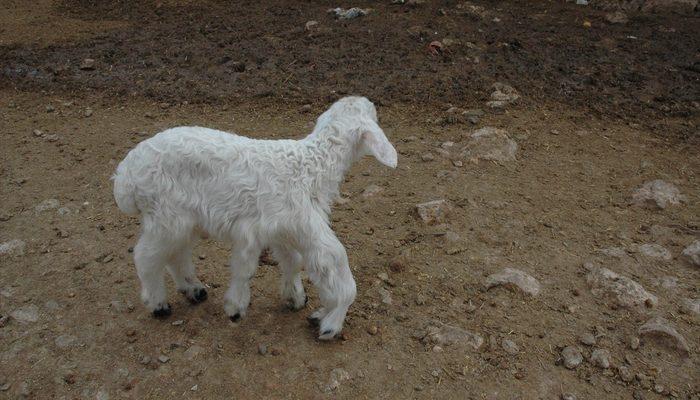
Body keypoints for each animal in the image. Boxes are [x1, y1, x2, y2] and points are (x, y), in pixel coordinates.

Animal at [112, 95, 396, 340]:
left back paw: (194, 290)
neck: (311, 167)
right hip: (165, 214)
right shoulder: (285, 226)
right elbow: (333, 260)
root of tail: (125, 176)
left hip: (183, 219)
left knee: (175, 254)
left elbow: (291, 262)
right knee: (146, 256)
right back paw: (157, 303)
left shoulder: (282, 229)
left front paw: (294, 297)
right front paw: (331, 321)